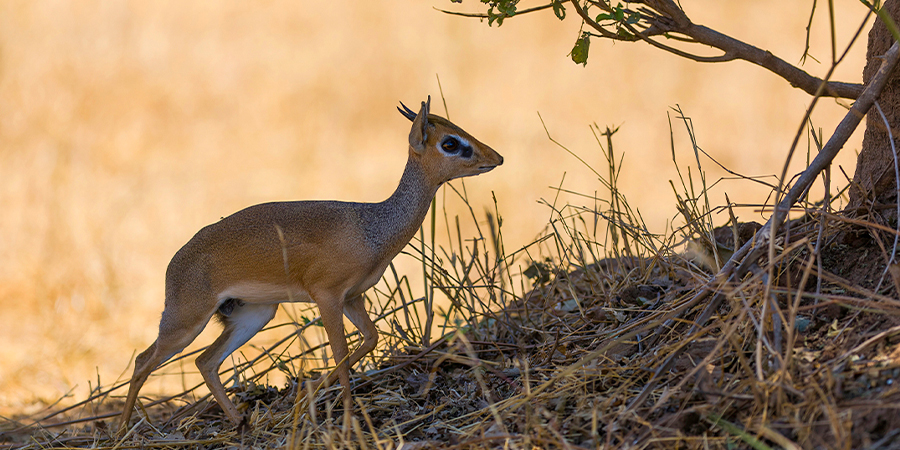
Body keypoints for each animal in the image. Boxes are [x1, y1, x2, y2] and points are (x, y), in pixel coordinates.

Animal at [118, 96, 503, 431]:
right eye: (450, 143)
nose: (496, 157)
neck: (372, 229)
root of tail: (174, 263)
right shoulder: (327, 295)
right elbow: (341, 351)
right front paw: (346, 418)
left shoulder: (353, 297)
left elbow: (369, 340)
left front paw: (305, 401)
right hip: (186, 322)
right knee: (143, 360)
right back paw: (122, 431)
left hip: (254, 315)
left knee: (205, 361)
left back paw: (241, 422)